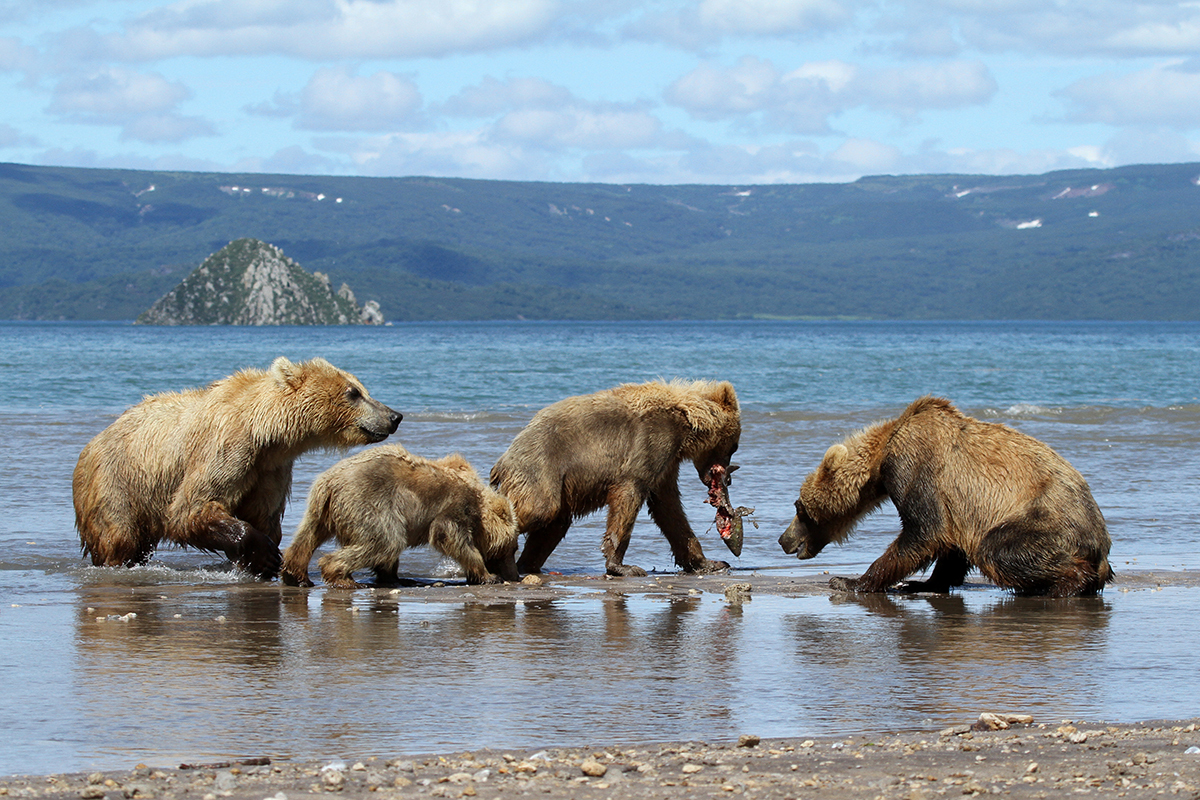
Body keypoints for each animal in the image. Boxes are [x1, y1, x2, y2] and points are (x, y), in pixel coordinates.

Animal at [75, 359, 403, 578]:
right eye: (353, 392)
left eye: (362, 389)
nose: (394, 416)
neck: (266, 432)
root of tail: (92, 442)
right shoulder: (227, 448)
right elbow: (191, 509)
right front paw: (265, 554)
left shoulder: (270, 468)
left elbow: (261, 513)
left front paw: (258, 560)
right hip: (118, 481)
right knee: (118, 535)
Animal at [283, 443, 523, 587]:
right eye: (510, 548)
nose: (514, 575)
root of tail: (330, 483)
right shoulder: (455, 505)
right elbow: (449, 535)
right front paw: (488, 576)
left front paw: (390, 576)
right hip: (368, 501)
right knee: (385, 540)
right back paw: (342, 577)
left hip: (320, 509)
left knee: (306, 538)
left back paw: (296, 575)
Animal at [487, 381, 739, 575]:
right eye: (733, 447)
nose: (728, 479)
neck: (686, 422)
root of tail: (503, 459)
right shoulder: (651, 440)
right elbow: (630, 494)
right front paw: (622, 566)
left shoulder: (667, 461)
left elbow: (669, 509)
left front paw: (710, 562)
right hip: (541, 467)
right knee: (539, 509)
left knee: (554, 525)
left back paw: (526, 565)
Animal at [782, 398, 1108, 597]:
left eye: (799, 508)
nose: (784, 539)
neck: (883, 455)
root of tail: (1101, 543)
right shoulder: (958, 505)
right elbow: (949, 543)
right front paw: (920, 583)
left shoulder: (915, 467)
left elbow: (923, 531)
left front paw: (849, 581)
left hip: (1045, 520)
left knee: (999, 549)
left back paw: (1062, 586)